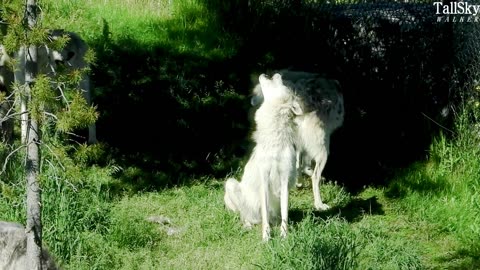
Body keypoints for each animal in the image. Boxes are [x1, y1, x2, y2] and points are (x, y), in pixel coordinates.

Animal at [226, 72, 304, 240]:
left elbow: (285, 213)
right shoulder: (264, 178)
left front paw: (284, 236)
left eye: (282, 83)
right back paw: (248, 225)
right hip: (231, 184)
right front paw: (266, 238)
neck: (275, 142)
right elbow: (265, 215)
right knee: (244, 215)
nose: (276, 73)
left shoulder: (284, 180)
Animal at [251, 69, 344, 211]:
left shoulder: (299, 143)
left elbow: (299, 164)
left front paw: (298, 183)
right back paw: (319, 204)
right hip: (324, 149)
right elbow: (305, 165)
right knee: (315, 177)